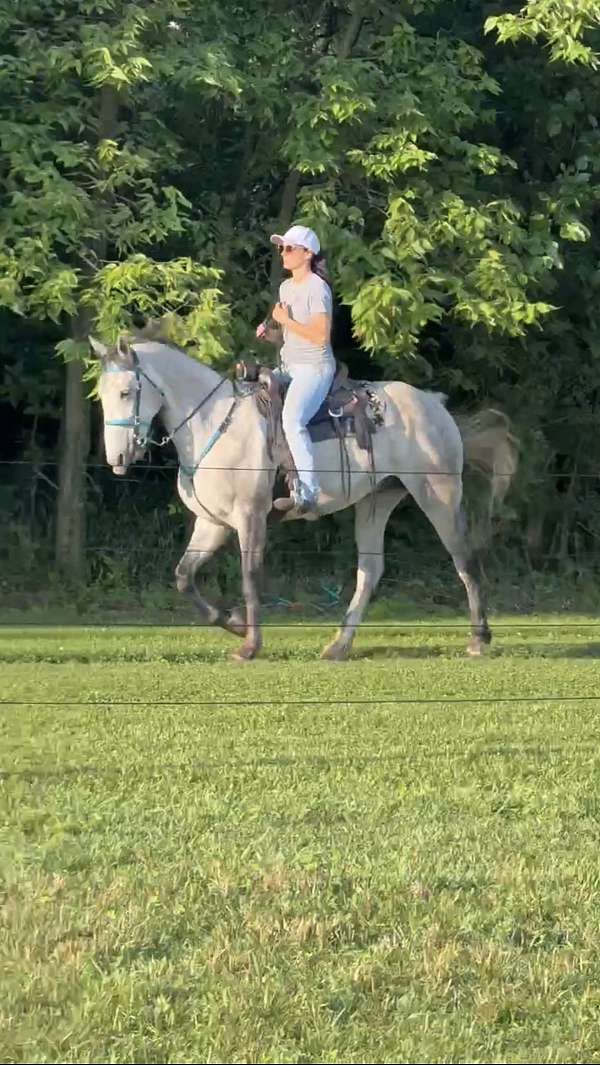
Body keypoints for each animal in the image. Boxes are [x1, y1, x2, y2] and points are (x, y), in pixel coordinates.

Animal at [89, 334, 518, 661]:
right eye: (103, 395)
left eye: (126, 392)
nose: (118, 459)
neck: (215, 424)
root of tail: (434, 404)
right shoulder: (212, 524)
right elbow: (183, 577)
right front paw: (234, 623)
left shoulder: (250, 518)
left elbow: (250, 578)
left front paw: (250, 645)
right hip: (376, 502)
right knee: (370, 571)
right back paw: (339, 645)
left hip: (437, 494)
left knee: (463, 558)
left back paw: (479, 639)